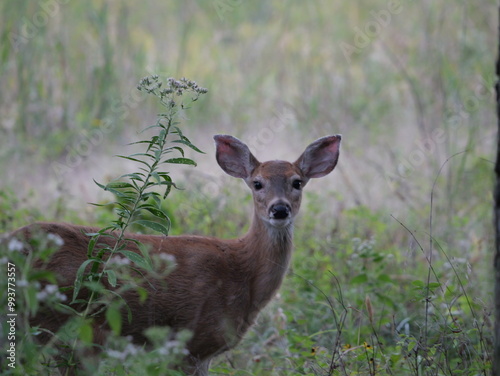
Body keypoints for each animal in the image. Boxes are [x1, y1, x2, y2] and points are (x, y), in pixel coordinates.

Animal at [9, 135, 342, 376]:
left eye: (297, 182)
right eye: (257, 183)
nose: (280, 209)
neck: (243, 271)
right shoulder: (192, 342)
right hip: (63, 328)